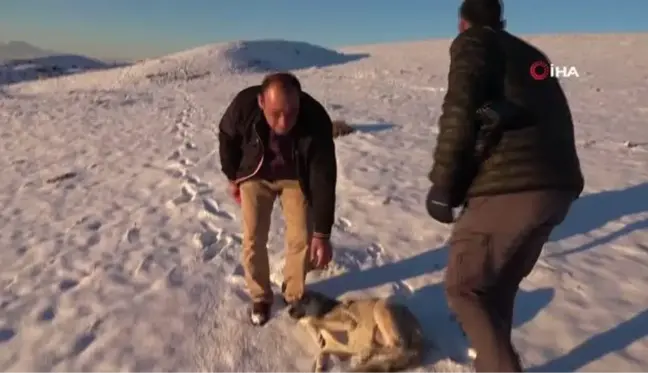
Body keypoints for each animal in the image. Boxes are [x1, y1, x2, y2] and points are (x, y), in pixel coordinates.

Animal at [288, 290, 430, 370]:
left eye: (303, 299)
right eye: (292, 301)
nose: (289, 311)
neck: (325, 309)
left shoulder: (348, 322)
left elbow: (313, 321)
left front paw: (317, 334)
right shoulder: (339, 350)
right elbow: (322, 352)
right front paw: (320, 366)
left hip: (380, 309)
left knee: (399, 347)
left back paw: (365, 355)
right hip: (378, 334)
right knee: (393, 349)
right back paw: (366, 356)